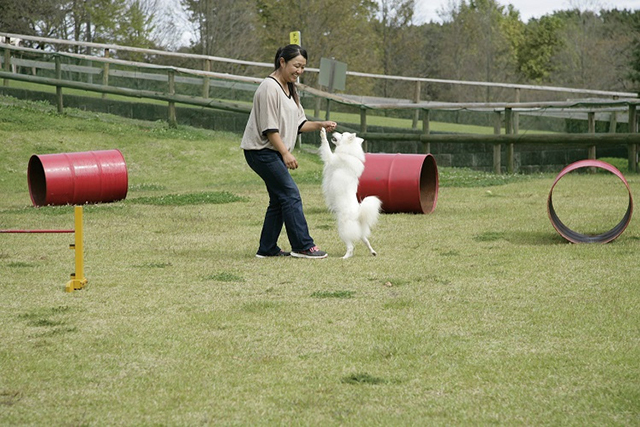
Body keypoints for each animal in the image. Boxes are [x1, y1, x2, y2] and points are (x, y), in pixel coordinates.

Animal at [318, 127, 380, 260]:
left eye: (342, 135)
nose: (333, 131)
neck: (349, 153)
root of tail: (358, 214)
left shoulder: (331, 158)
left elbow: (326, 146)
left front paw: (323, 133)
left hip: (343, 230)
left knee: (351, 247)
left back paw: (345, 257)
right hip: (360, 233)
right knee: (366, 240)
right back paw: (373, 252)